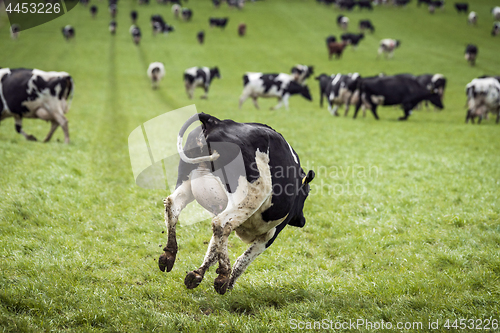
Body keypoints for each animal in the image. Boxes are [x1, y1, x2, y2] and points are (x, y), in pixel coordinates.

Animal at [159, 112, 316, 294]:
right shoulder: (270, 234)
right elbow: (244, 259)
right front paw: (229, 283)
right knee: (220, 224)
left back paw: (168, 255)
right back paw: (223, 276)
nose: (301, 220)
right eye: (306, 193)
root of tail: (217, 122)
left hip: (187, 182)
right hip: (249, 196)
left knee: (173, 204)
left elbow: (213, 248)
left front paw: (197, 274)